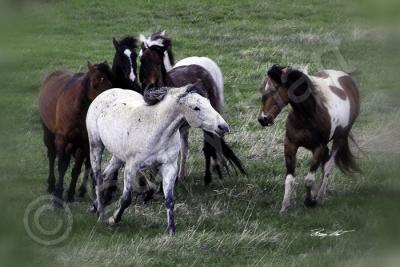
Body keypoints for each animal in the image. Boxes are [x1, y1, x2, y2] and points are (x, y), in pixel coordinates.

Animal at [38, 62, 113, 205]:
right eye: (94, 82)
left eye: (111, 83)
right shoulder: (62, 140)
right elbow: (61, 166)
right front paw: (58, 197)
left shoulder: (82, 143)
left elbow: (76, 169)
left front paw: (70, 194)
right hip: (48, 132)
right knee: (52, 156)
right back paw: (51, 185)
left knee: (87, 163)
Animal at [87, 83, 231, 234]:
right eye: (196, 107)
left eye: (208, 102)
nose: (223, 127)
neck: (156, 128)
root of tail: (106, 93)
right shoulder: (131, 167)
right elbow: (126, 199)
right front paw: (113, 219)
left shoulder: (169, 167)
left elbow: (169, 199)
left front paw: (171, 230)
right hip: (96, 146)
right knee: (97, 177)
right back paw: (100, 215)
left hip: (118, 156)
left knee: (105, 175)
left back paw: (95, 207)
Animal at [138, 31, 245, 185]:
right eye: (141, 59)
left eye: (159, 60)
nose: (150, 85)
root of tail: (198, 61)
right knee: (186, 148)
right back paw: (182, 175)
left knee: (214, 140)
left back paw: (217, 167)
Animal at [258, 65, 360, 214]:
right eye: (262, 89)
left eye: (275, 89)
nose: (262, 119)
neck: (308, 115)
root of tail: (347, 78)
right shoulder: (290, 144)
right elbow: (289, 179)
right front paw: (285, 206)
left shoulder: (319, 148)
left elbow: (309, 180)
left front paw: (309, 201)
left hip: (340, 138)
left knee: (328, 166)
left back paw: (320, 197)